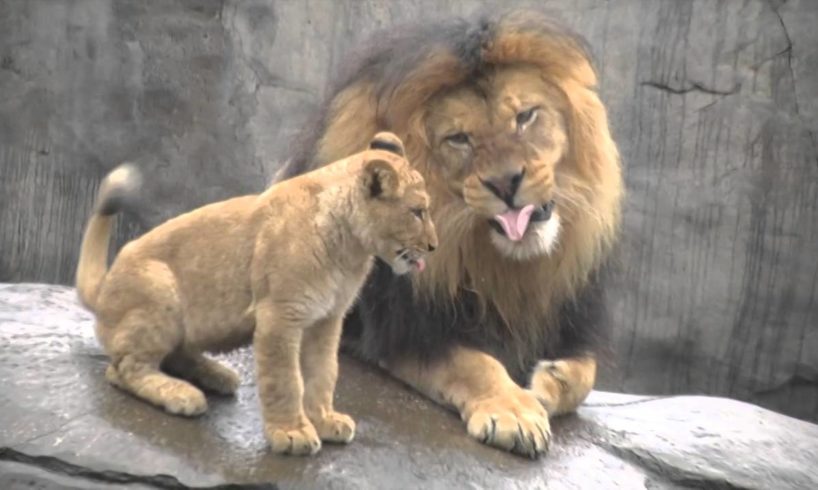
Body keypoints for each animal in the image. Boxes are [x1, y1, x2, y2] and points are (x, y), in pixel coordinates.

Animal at [278, 8, 620, 460]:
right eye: (459, 139)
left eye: (525, 116)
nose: (505, 183)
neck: (506, 267)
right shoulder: (405, 330)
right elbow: (474, 364)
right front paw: (513, 412)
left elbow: (588, 371)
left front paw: (553, 379)